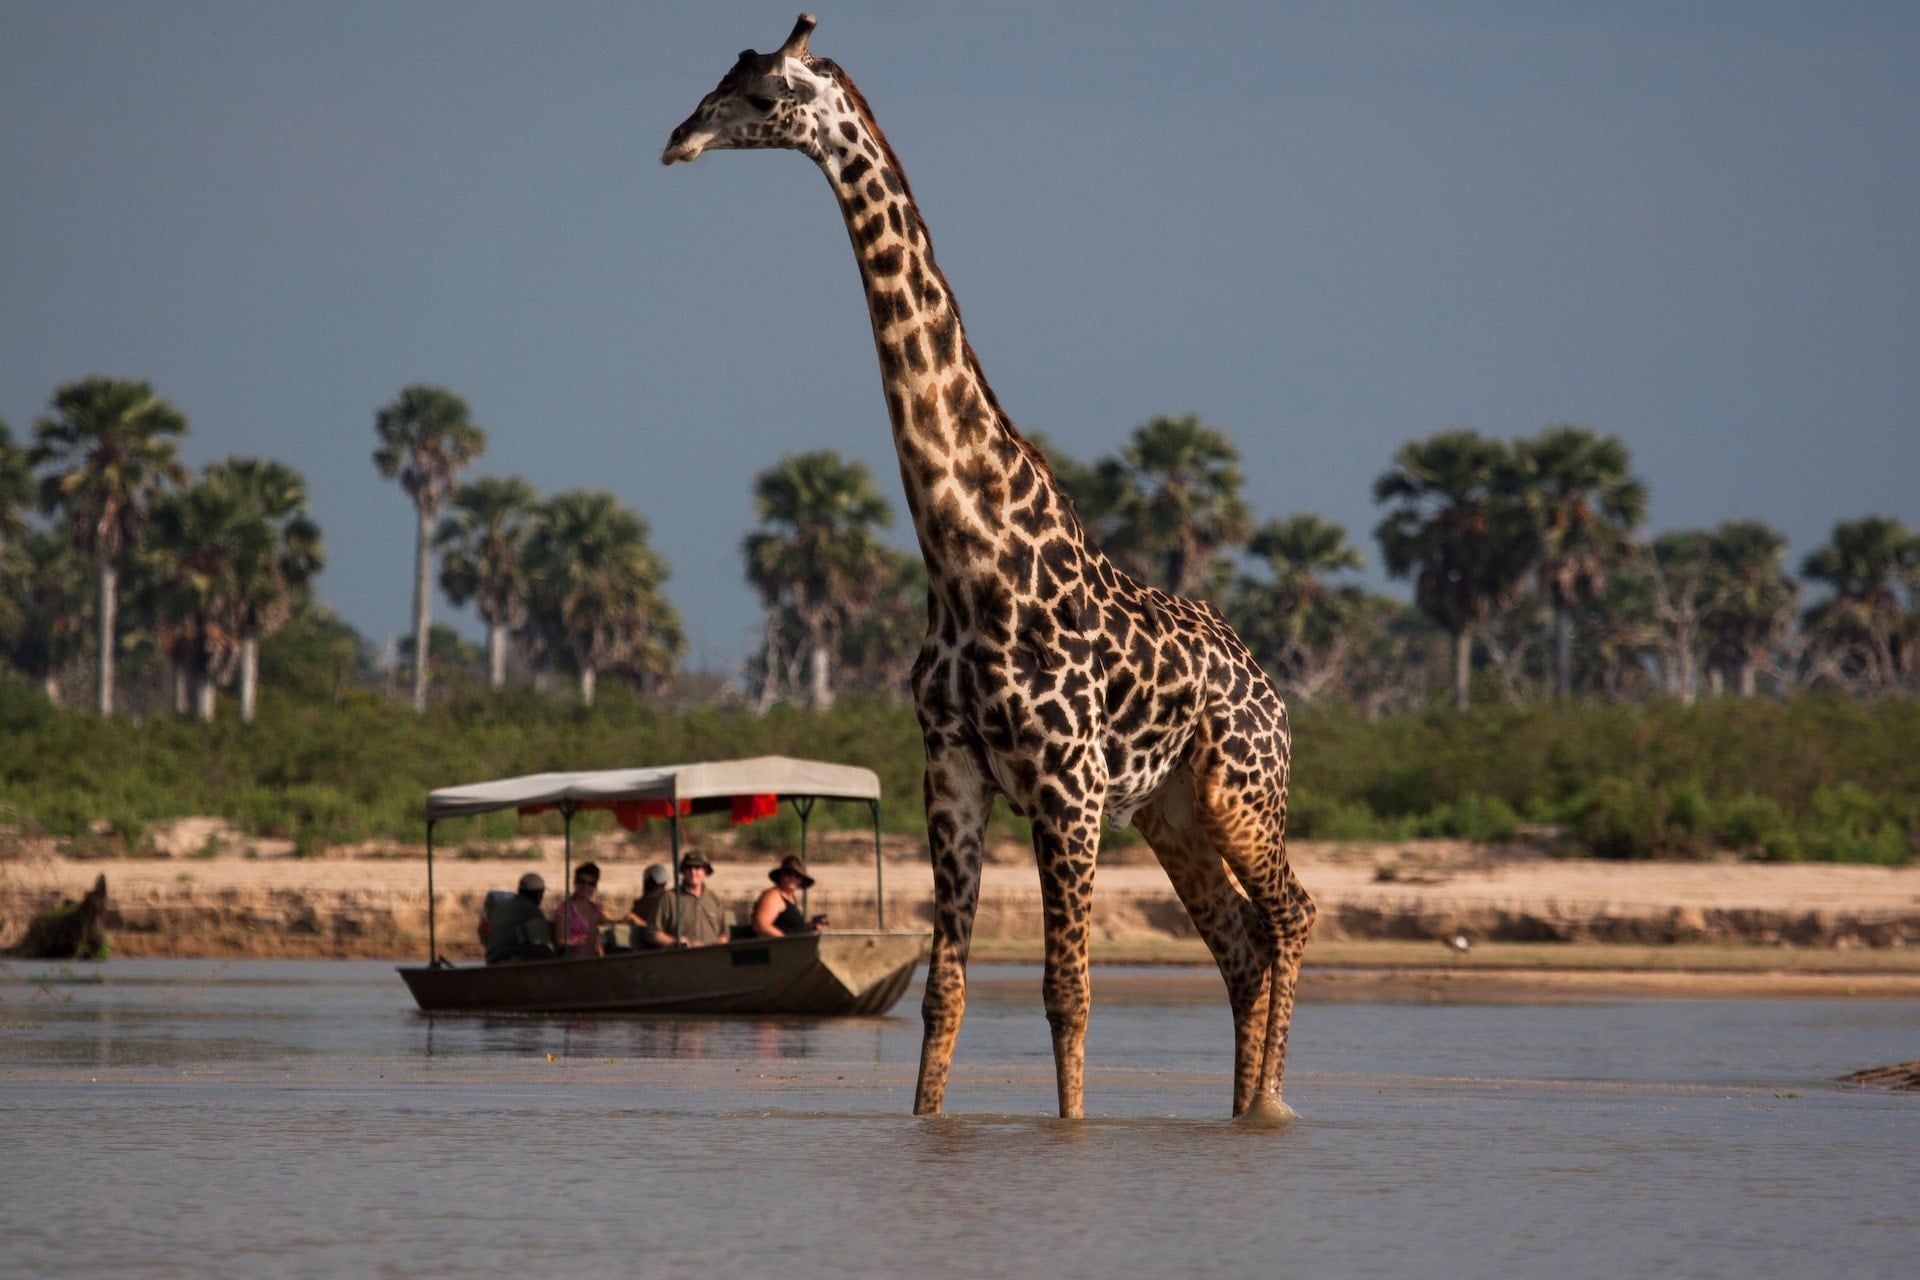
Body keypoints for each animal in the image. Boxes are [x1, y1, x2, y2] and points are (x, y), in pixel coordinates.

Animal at [665, 15, 1313, 1121]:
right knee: (1240, 943)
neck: (967, 560)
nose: (679, 138)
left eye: (763, 94)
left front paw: (1071, 1132)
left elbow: (1067, 991)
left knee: (1291, 913)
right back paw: (1241, 1110)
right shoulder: (952, 768)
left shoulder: (1067, 785)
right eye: (720, 78)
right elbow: (948, 991)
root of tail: (1271, 688)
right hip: (1173, 812)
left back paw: (1271, 1105)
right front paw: (927, 1122)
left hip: (1239, 789)